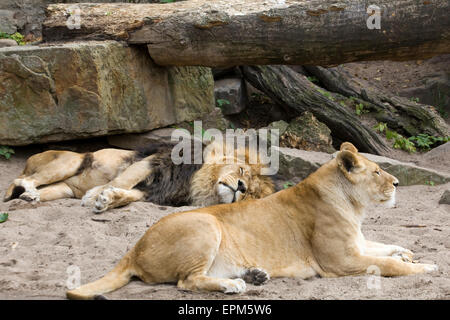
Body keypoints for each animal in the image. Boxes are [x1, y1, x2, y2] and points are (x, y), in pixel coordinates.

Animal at [3, 141, 274, 211]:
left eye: (250, 192)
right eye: (242, 171)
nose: (241, 187)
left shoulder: (154, 192)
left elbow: (127, 194)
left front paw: (106, 200)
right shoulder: (154, 161)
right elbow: (122, 180)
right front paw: (94, 195)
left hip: (64, 188)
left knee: (45, 189)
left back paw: (30, 198)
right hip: (70, 162)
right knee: (19, 180)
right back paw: (28, 191)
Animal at [65, 142, 438, 300]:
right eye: (377, 172)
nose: (397, 183)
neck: (354, 206)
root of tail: (133, 250)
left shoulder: (357, 245)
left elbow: (385, 247)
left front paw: (407, 253)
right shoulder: (341, 261)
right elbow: (388, 266)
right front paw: (425, 267)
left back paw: (253, 275)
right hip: (205, 225)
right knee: (188, 282)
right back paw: (234, 285)